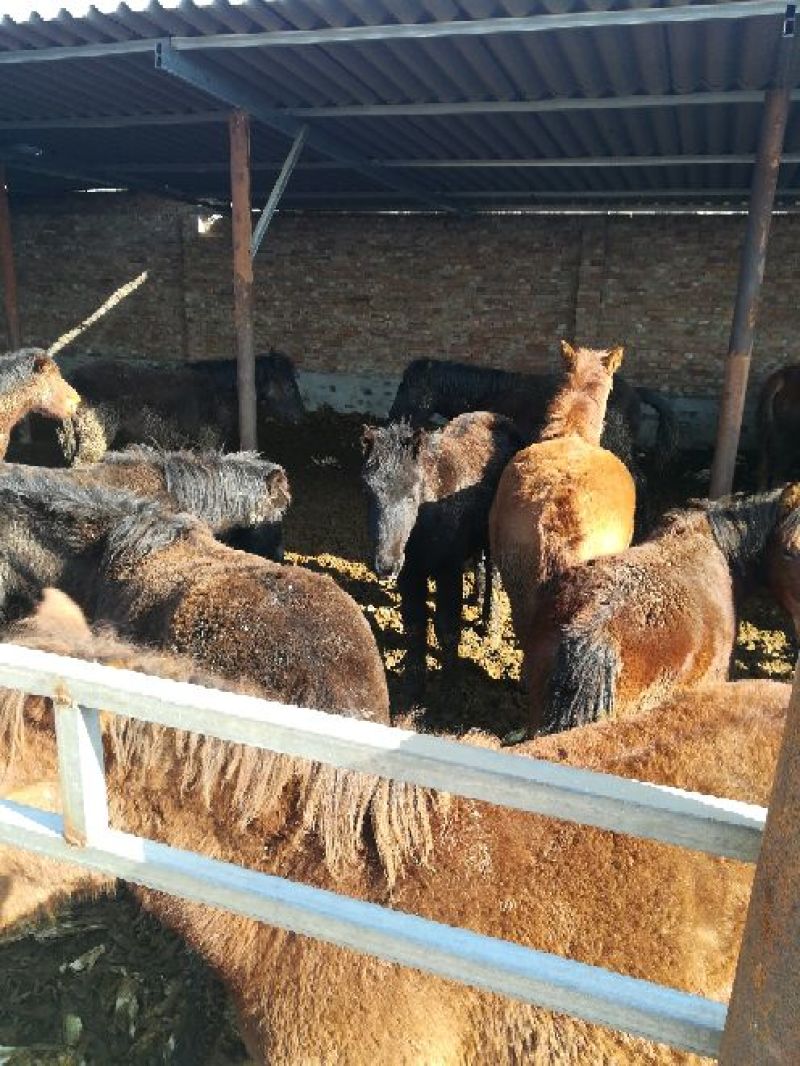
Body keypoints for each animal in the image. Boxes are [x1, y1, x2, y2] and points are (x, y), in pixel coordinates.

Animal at [362, 413, 521, 695]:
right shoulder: (410, 574)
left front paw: (449, 690)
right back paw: (477, 601)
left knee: (494, 574)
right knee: (480, 564)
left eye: (411, 495)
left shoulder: (449, 571)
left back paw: (490, 628)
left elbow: (447, 628)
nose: (385, 567)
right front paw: (414, 686)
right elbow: (415, 624)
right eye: (367, 491)